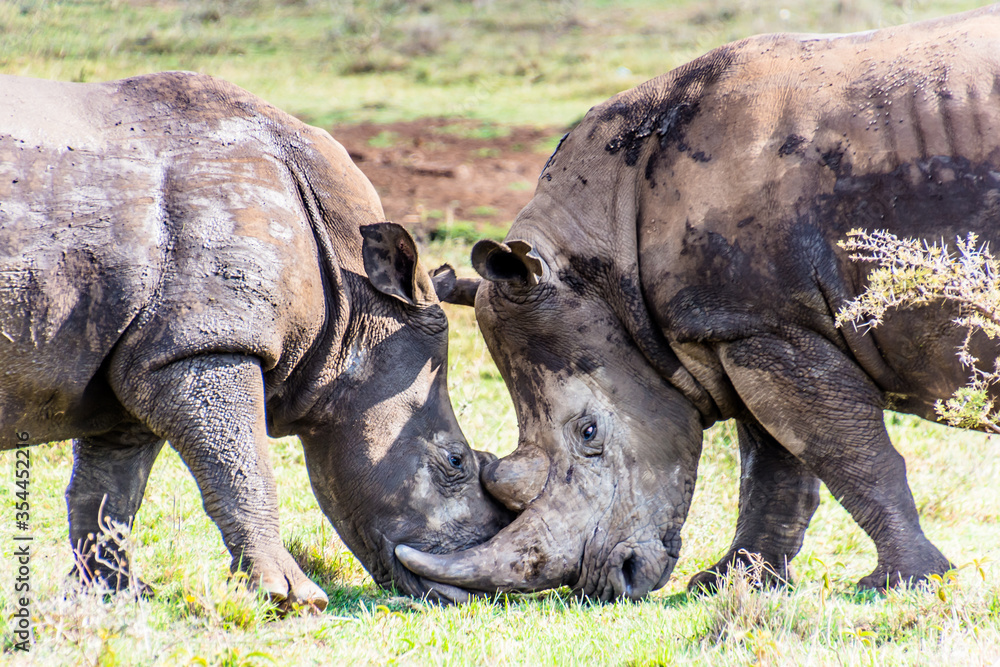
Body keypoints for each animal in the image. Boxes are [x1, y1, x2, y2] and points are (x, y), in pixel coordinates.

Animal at [0, 71, 509, 609]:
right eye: (455, 460)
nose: (469, 594)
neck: (356, 306)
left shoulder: (148, 354)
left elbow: (109, 490)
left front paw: (113, 597)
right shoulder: (207, 345)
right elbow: (243, 465)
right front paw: (293, 599)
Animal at [398, 6, 1000, 600]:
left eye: (588, 433)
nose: (608, 582)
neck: (606, 243)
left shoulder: (766, 325)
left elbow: (851, 457)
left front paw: (906, 584)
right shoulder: (737, 327)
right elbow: (775, 464)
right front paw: (730, 583)